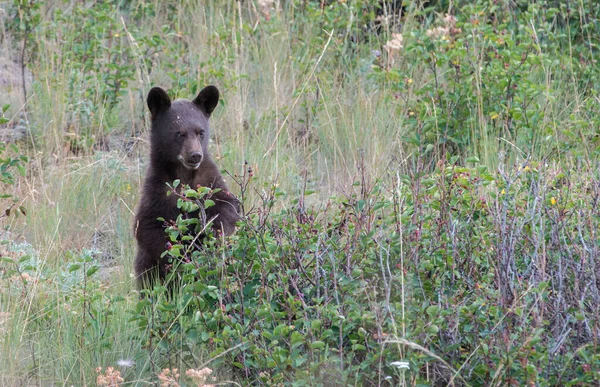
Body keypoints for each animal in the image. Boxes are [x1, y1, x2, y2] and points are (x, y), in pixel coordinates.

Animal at [134, 87, 239, 288]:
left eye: (200, 132)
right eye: (178, 133)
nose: (195, 155)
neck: (184, 176)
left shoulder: (210, 182)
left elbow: (228, 207)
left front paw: (215, 235)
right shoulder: (157, 190)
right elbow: (147, 227)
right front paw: (181, 258)